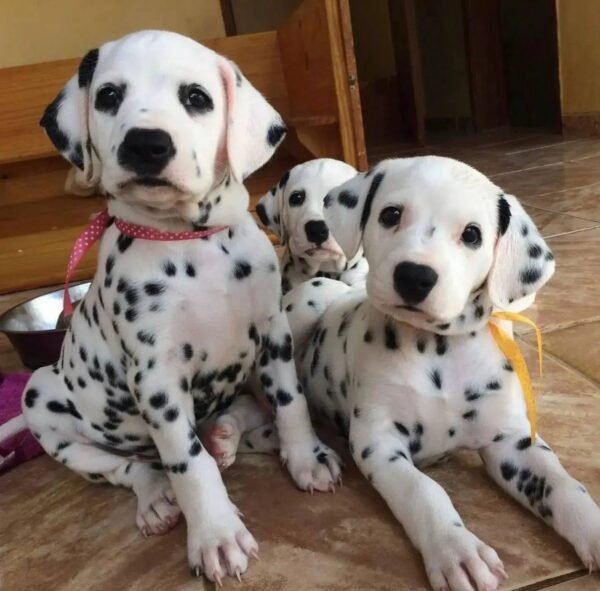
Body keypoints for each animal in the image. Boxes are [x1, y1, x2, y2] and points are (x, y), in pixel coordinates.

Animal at [21, 30, 340, 584]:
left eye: (196, 97)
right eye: (108, 96)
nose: (146, 144)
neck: (194, 245)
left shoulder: (273, 336)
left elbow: (291, 404)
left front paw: (307, 458)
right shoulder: (156, 377)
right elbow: (189, 464)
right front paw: (215, 535)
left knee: (244, 415)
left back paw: (225, 434)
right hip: (41, 395)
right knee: (128, 467)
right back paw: (156, 496)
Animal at [282, 157, 600, 591]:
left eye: (471, 234)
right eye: (391, 214)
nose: (414, 276)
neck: (437, 350)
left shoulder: (514, 443)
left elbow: (565, 485)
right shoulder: (379, 443)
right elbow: (424, 491)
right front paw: (456, 550)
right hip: (304, 309)